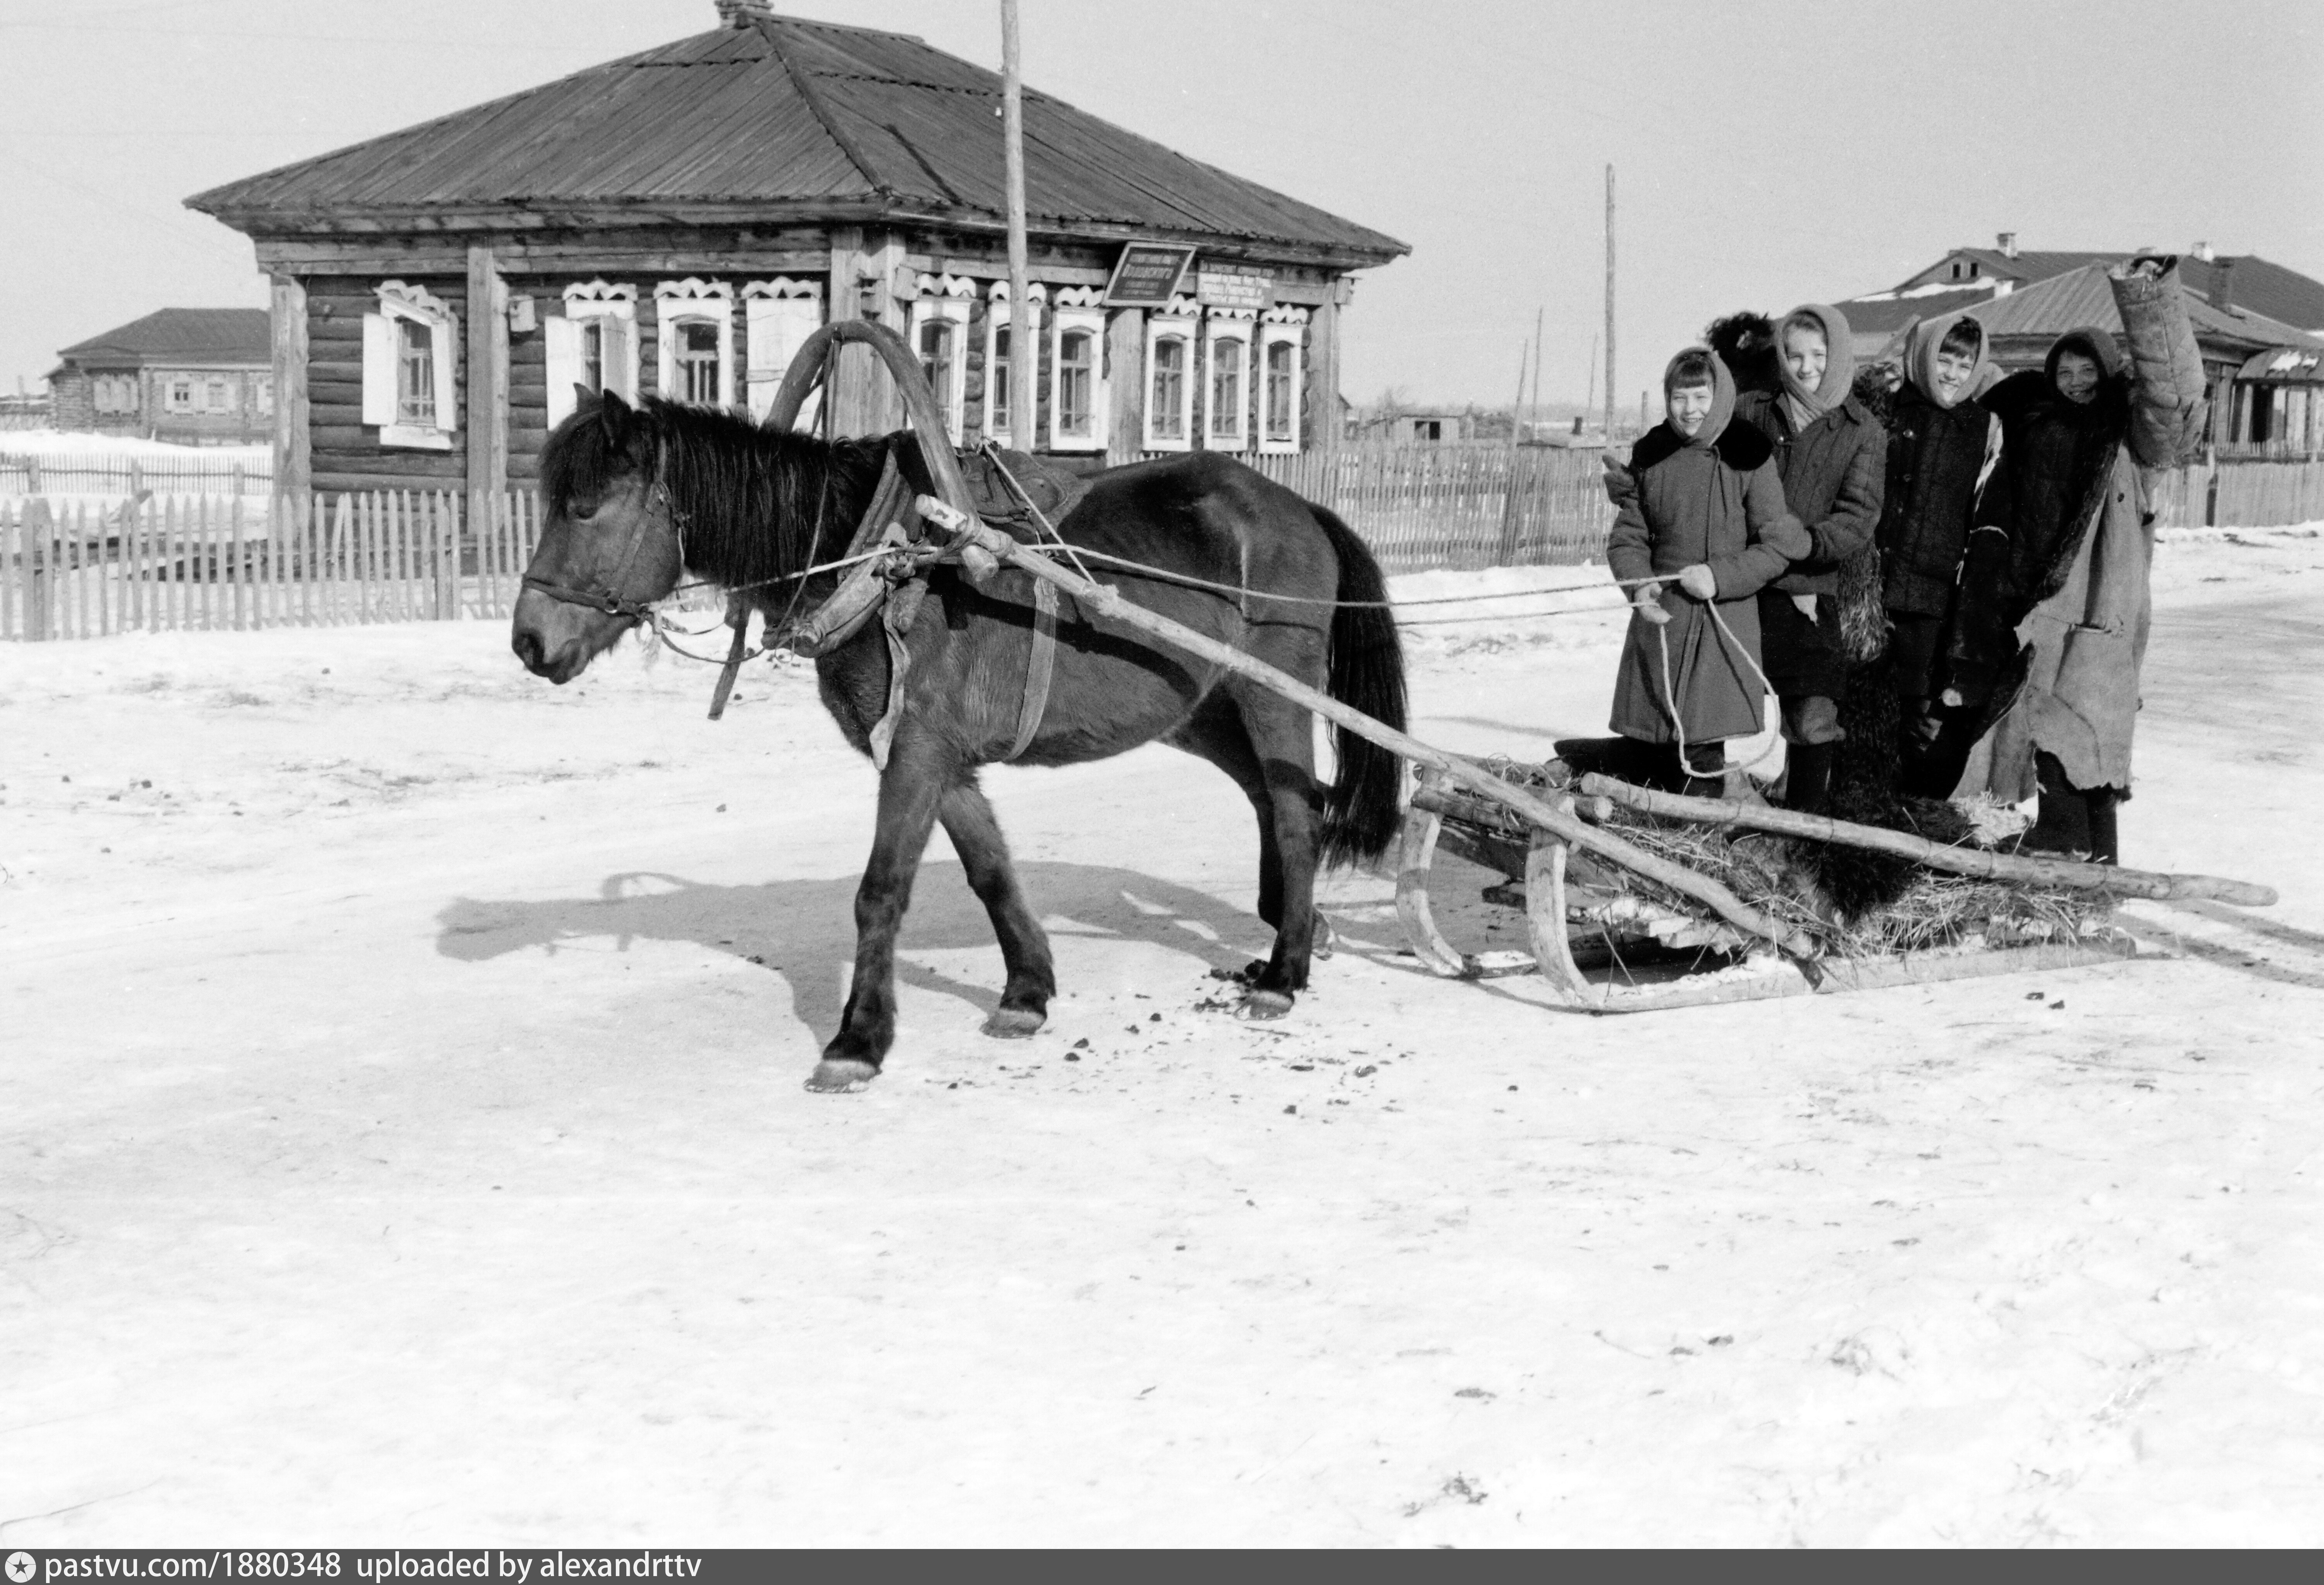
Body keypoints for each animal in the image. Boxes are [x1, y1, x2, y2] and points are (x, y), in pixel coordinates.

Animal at [511, 388, 1404, 1092]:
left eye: (584, 509)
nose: (528, 640)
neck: (876, 555)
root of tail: (1296, 507)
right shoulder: (943, 761)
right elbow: (990, 871)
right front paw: (1027, 992)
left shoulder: (915, 751)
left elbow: (881, 893)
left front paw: (859, 1038)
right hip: (1202, 707)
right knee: (1275, 799)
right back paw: (1291, 927)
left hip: (1272, 693)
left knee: (1296, 814)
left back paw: (1285, 971)